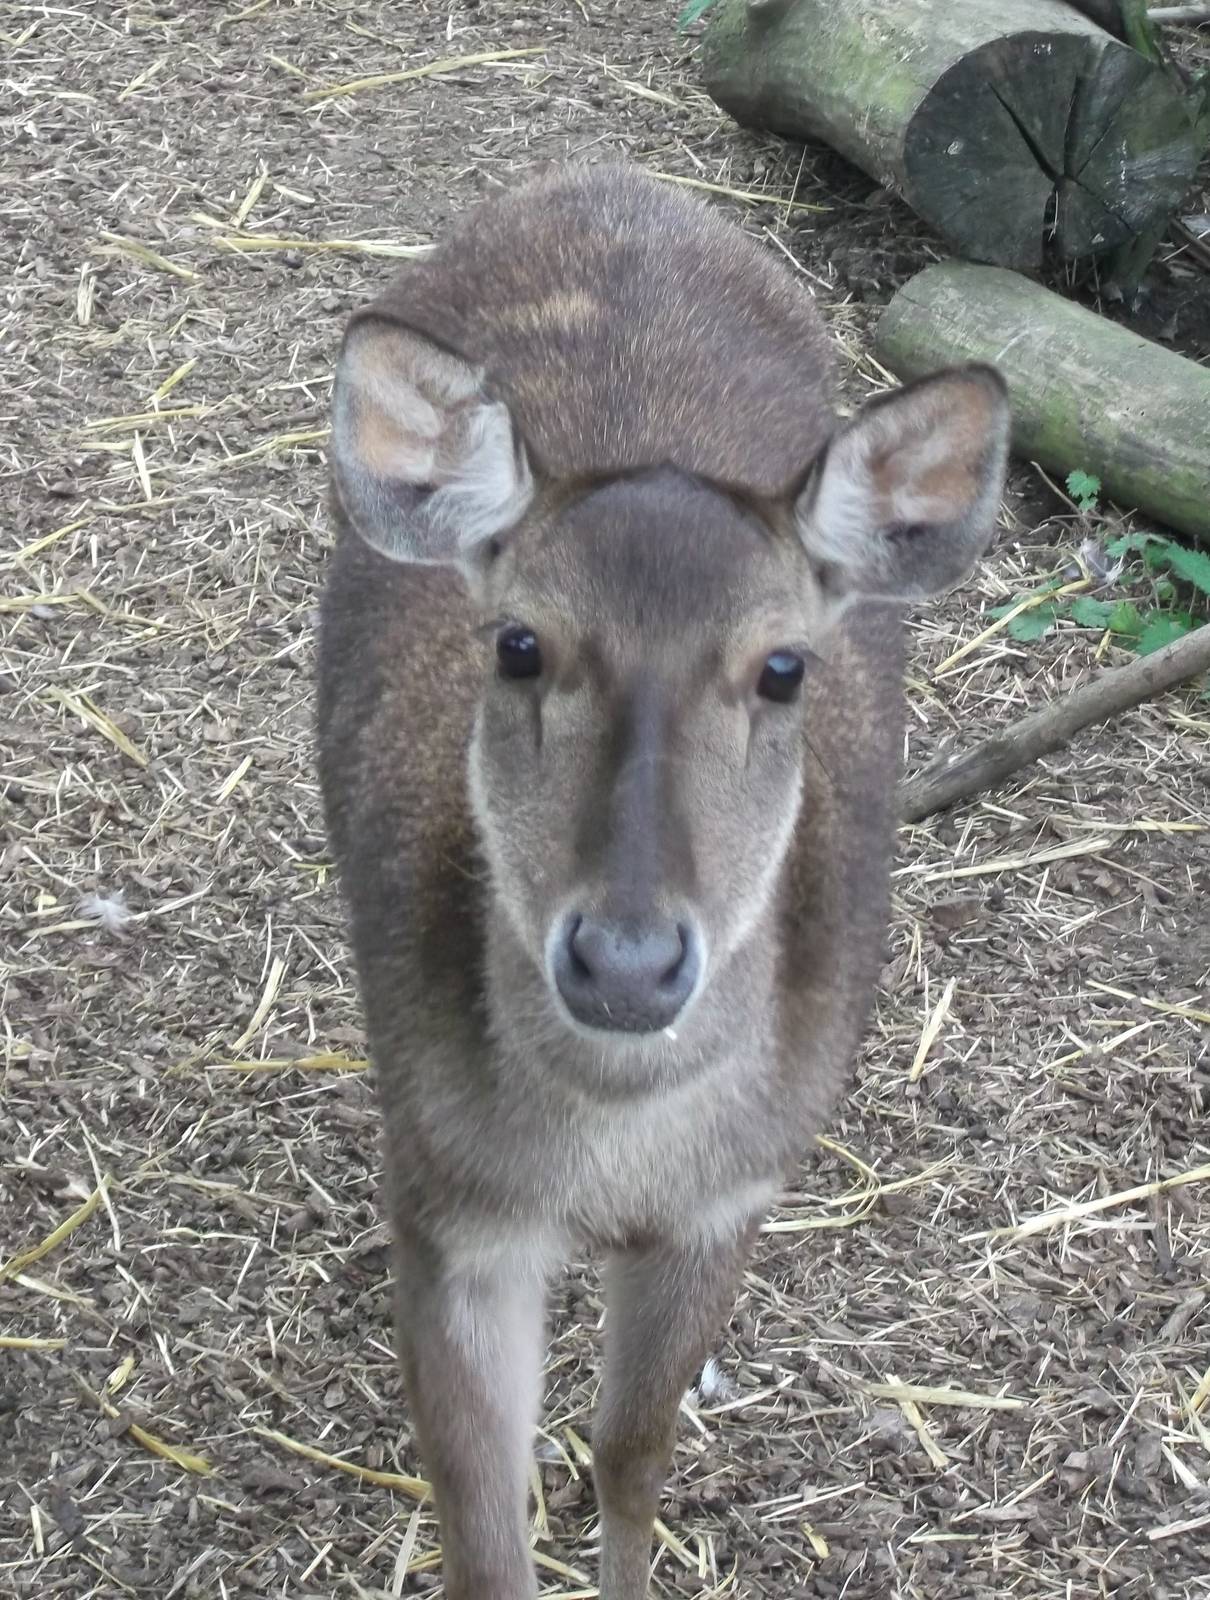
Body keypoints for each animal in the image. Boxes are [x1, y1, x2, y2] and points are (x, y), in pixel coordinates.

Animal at [317, 161, 1009, 1600]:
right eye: (518, 644)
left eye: (782, 665)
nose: (626, 959)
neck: (610, 1155)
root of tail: (614, 180)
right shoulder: (452, 1201)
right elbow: (481, 1524)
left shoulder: (731, 1191)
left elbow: (629, 1454)